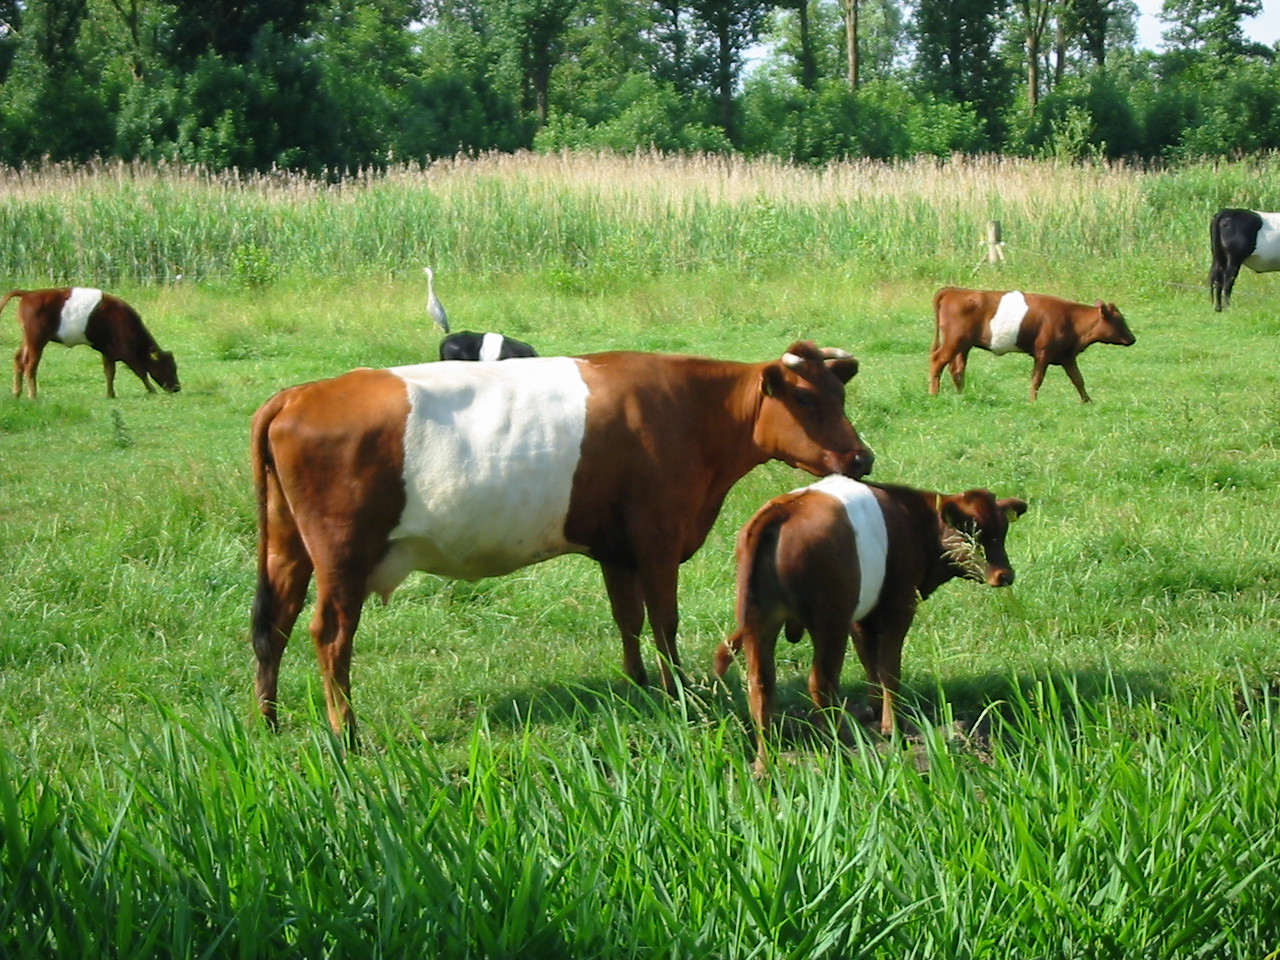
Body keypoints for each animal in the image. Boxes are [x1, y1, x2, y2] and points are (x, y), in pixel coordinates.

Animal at [2, 285, 181, 399]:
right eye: (169, 367)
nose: (177, 388)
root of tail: (29, 293)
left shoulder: (108, 352)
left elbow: (109, 372)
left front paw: (110, 394)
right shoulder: (127, 352)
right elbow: (141, 371)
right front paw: (152, 390)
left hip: (27, 340)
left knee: (18, 360)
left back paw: (16, 393)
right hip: (37, 340)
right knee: (30, 366)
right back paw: (32, 395)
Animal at [245, 343, 875, 742]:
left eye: (840, 398)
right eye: (806, 401)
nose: (861, 458)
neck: (690, 413)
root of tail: (297, 395)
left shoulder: (616, 549)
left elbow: (628, 618)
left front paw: (637, 685)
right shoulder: (658, 538)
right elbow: (664, 621)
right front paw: (678, 692)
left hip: (287, 546)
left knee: (273, 626)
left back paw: (269, 722)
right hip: (342, 555)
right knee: (330, 635)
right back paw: (346, 733)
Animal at [716, 478, 1024, 778]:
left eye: (1002, 531)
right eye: (973, 531)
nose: (1005, 575)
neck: (916, 520)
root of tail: (781, 509)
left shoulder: (862, 617)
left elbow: (870, 663)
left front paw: (875, 713)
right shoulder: (899, 606)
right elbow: (889, 669)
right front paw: (891, 726)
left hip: (759, 620)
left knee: (760, 685)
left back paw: (764, 764)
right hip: (830, 621)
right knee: (821, 682)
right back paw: (839, 745)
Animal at [926, 288, 1136, 404]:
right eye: (1119, 321)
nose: (1132, 339)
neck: (1071, 320)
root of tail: (955, 290)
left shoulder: (1067, 356)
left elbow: (1078, 380)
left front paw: (1088, 401)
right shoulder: (1043, 353)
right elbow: (1037, 379)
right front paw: (1032, 401)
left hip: (963, 345)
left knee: (956, 368)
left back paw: (961, 395)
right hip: (954, 341)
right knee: (938, 360)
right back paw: (934, 394)